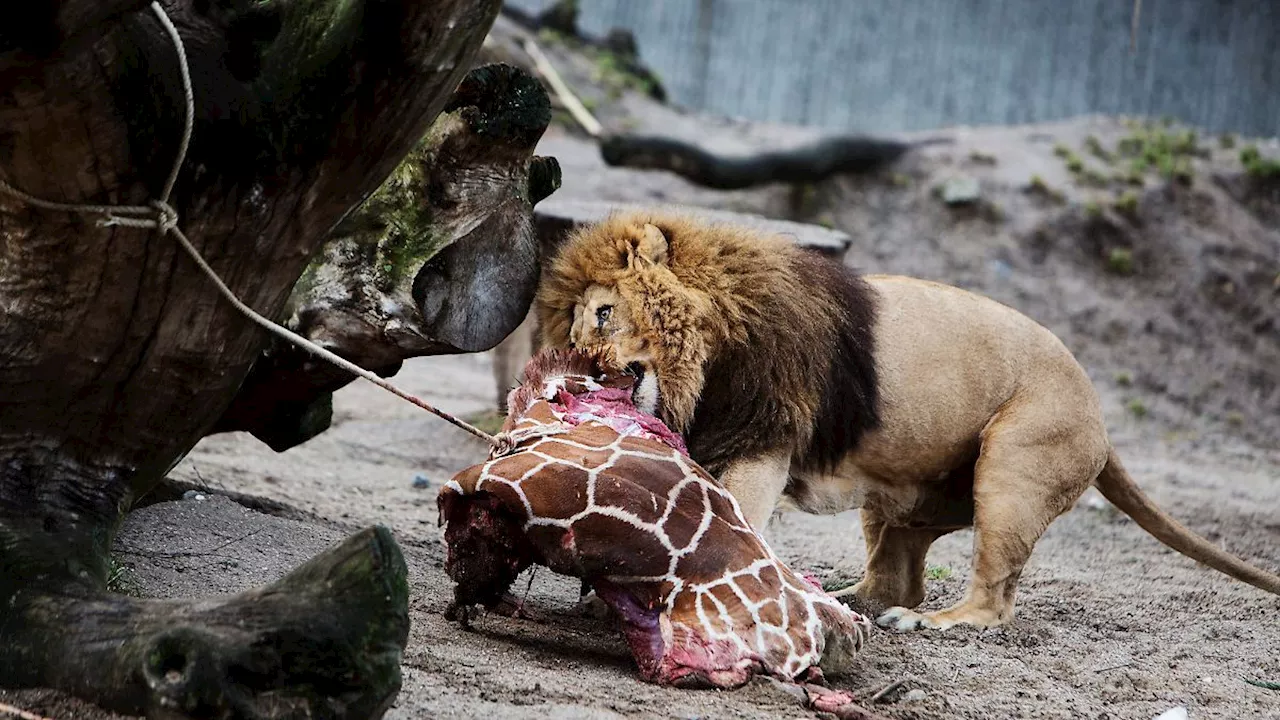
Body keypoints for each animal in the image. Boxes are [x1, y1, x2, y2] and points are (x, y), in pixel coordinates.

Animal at [535, 207, 1280, 627]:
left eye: (603, 315)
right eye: (575, 332)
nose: (585, 371)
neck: (707, 356)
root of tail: (1100, 412)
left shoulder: (762, 438)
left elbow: (729, 519)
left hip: (1016, 466)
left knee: (993, 600)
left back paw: (934, 624)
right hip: (901, 495)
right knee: (898, 577)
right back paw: (851, 600)